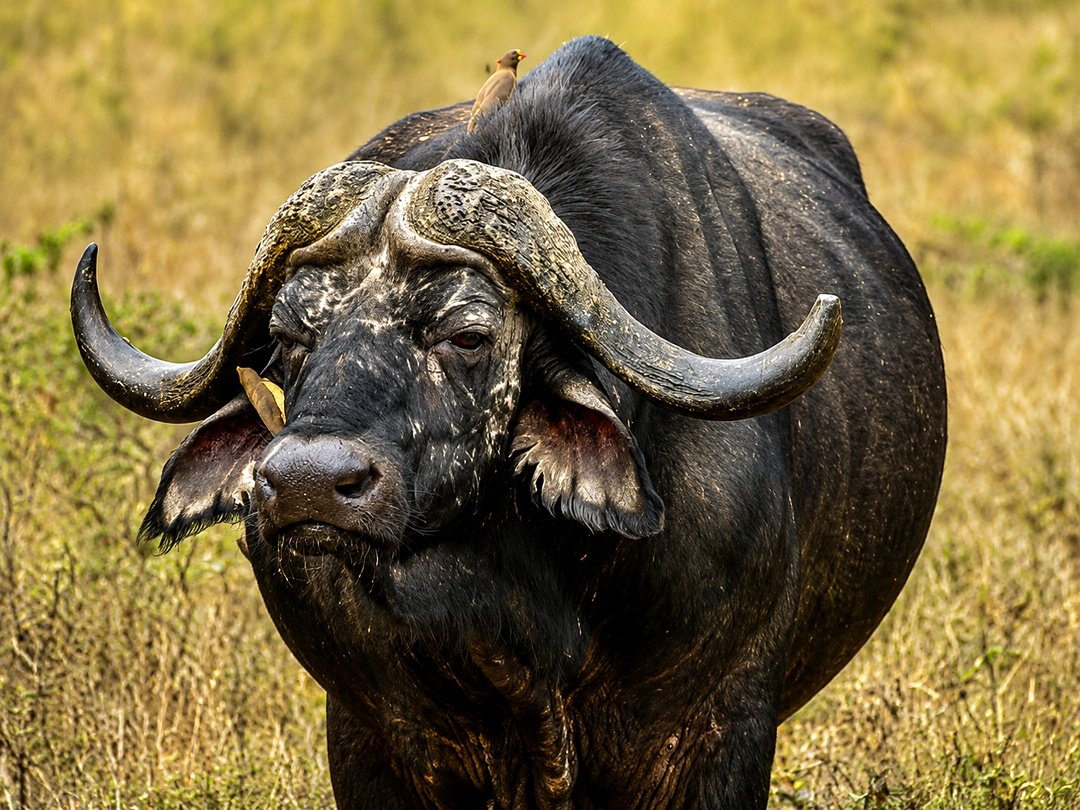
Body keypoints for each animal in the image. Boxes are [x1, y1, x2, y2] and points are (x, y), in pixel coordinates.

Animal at [72, 37, 946, 809]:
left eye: (467, 333)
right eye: (288, 337)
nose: (308, 485)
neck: (518, 604)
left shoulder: (716, 732)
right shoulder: (368, 735)